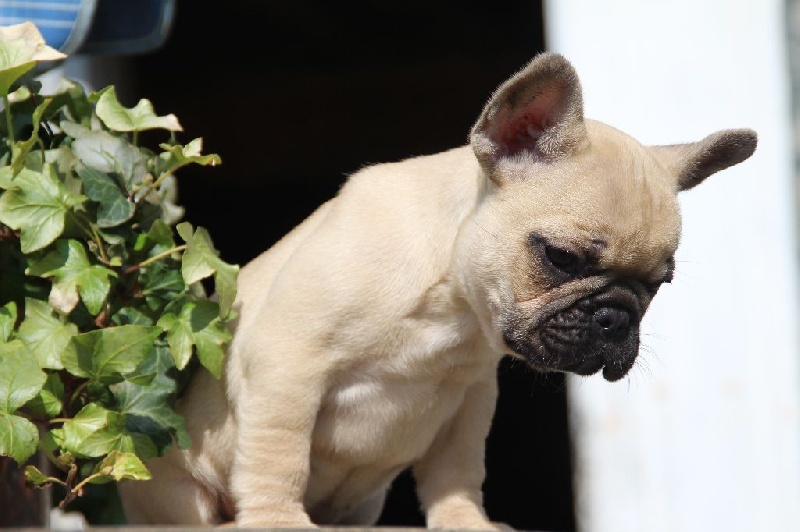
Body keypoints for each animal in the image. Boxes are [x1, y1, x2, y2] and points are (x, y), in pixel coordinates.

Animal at [119, 53, 756, 528]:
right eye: (561, 258)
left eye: (657, 286)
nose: (615, 318)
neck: (452, 306)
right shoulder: (287, 362)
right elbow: (280, 451)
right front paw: (277, 518)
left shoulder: (469, 401)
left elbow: (456, 474)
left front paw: (465, 522)